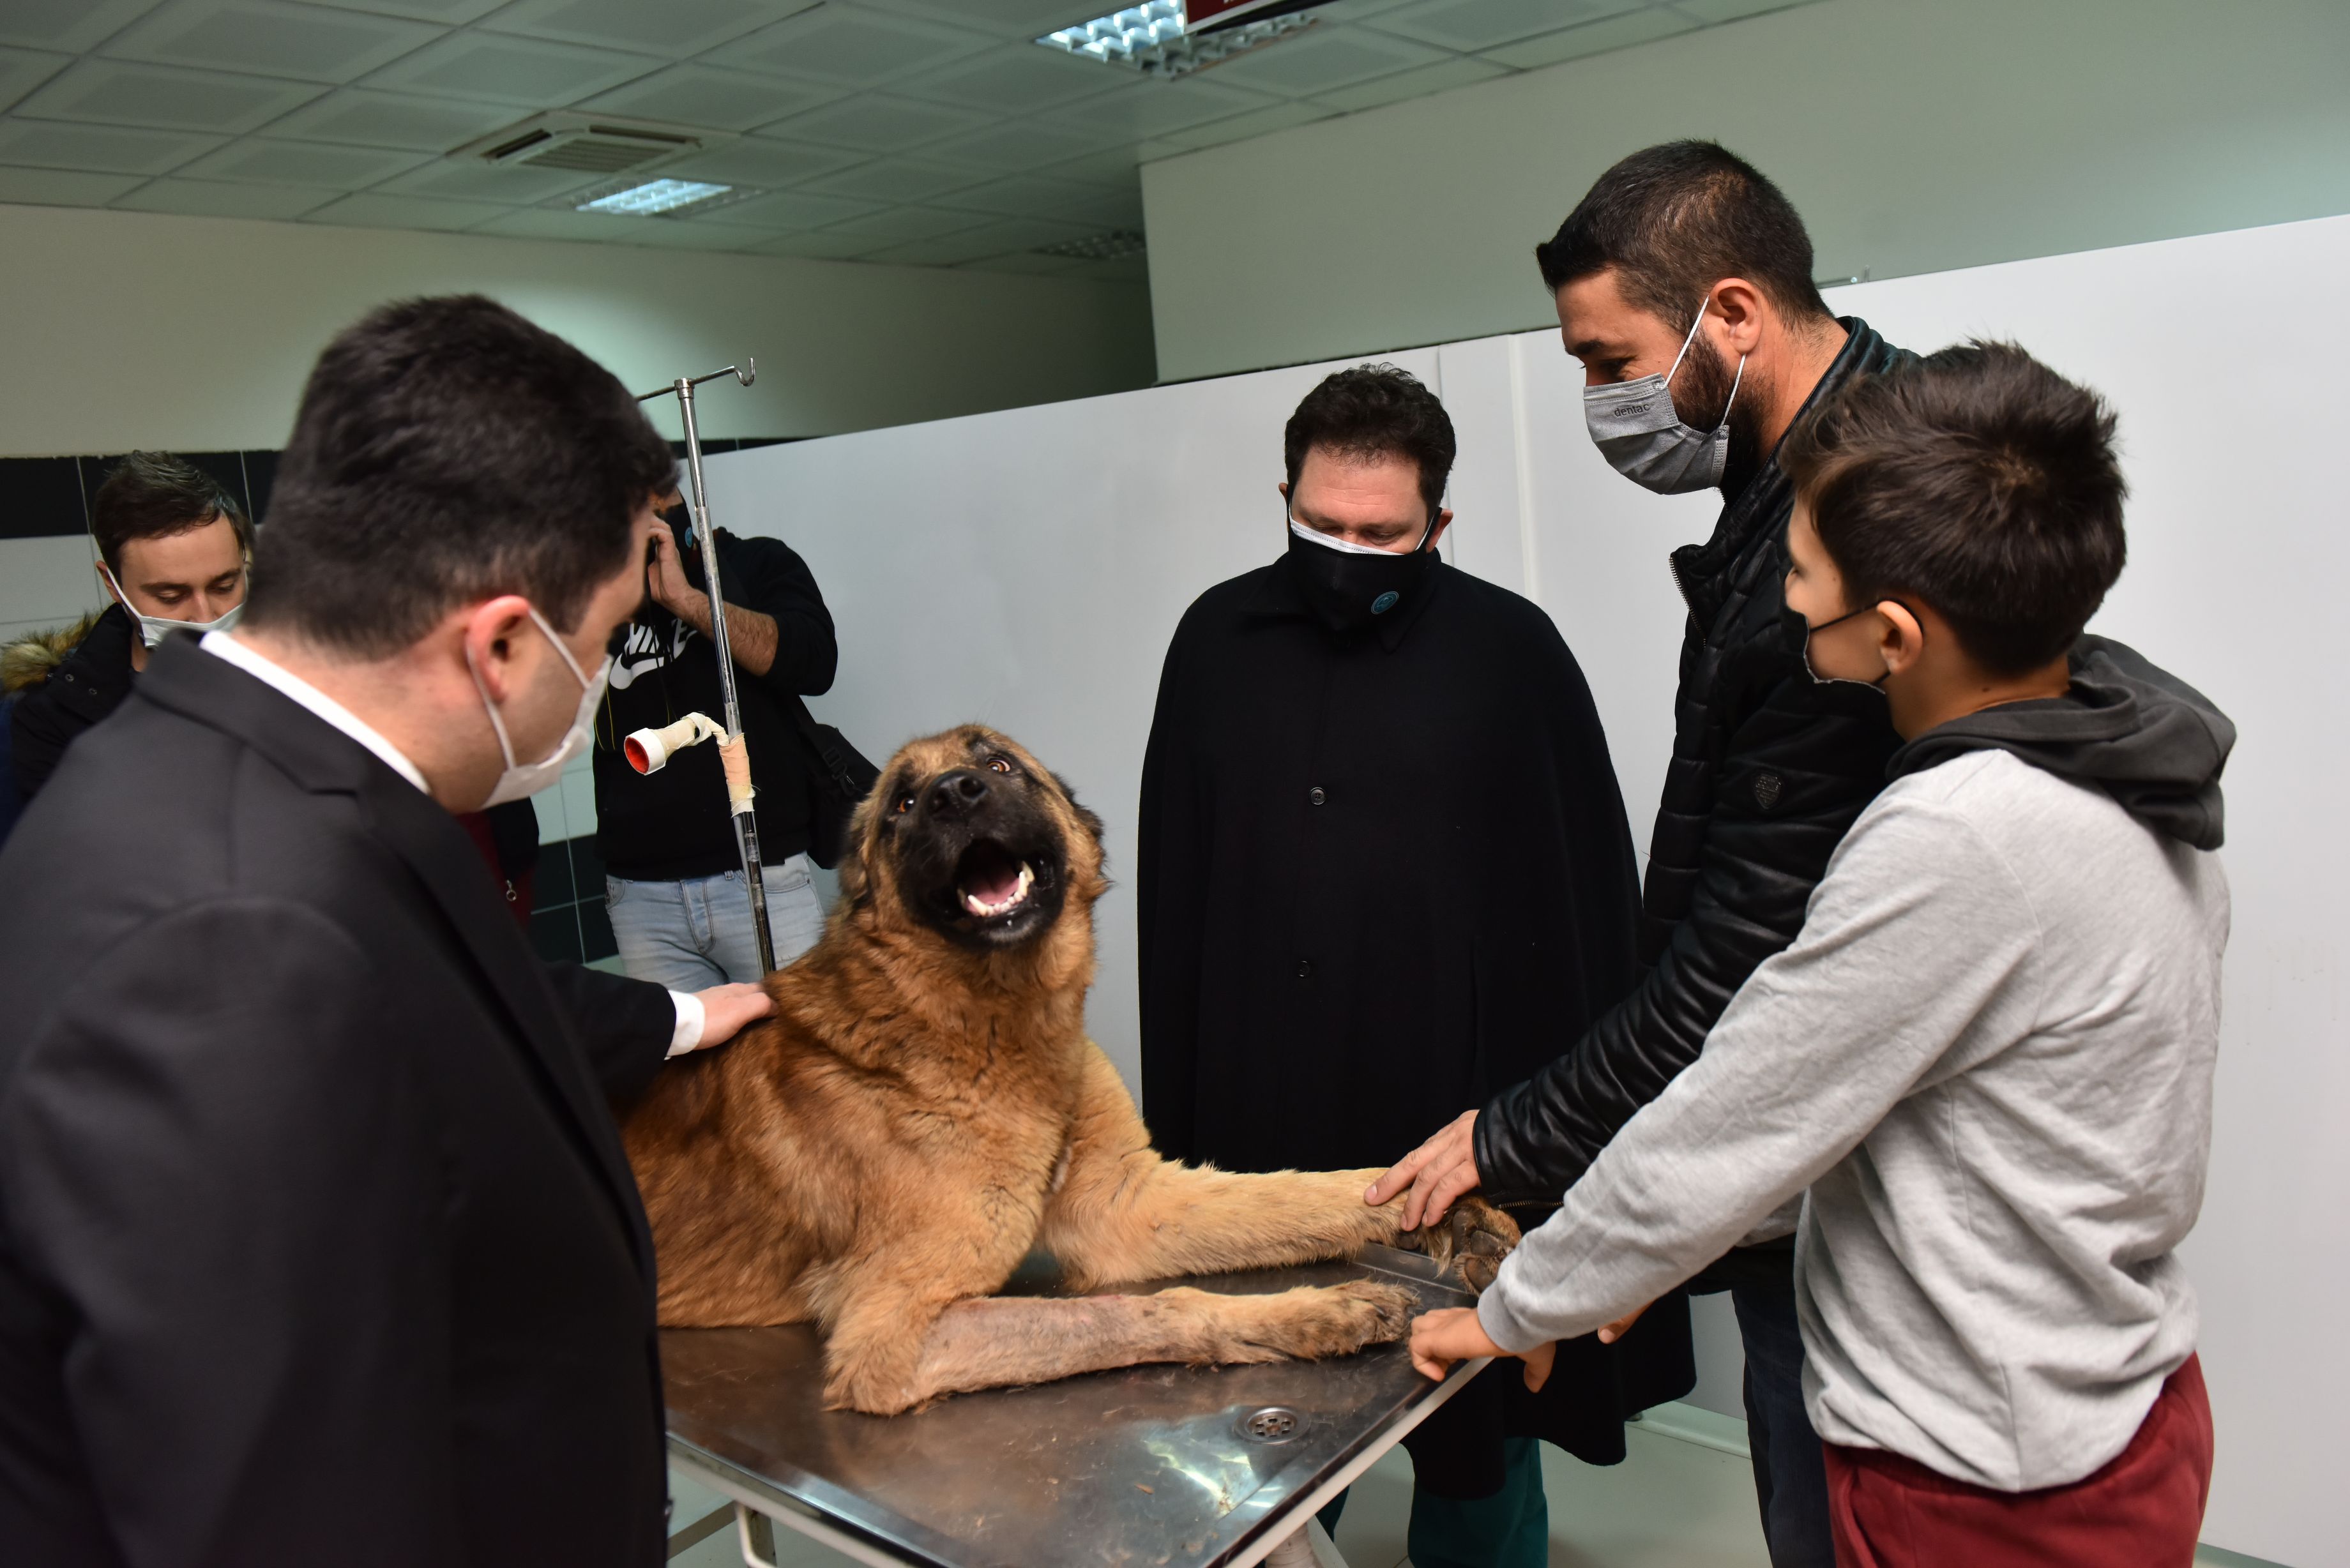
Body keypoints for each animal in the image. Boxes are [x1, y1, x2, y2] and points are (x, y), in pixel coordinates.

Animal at [616, 728, 1513, 1420]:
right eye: (902, 803)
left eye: (998, 762)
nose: (954, 794)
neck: (992, 1025)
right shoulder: (895, 1337)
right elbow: (1150, 1306)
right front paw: (1318, 1311)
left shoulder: (1129, 1202)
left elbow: (1315, 1191)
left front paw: (1447, 1206)